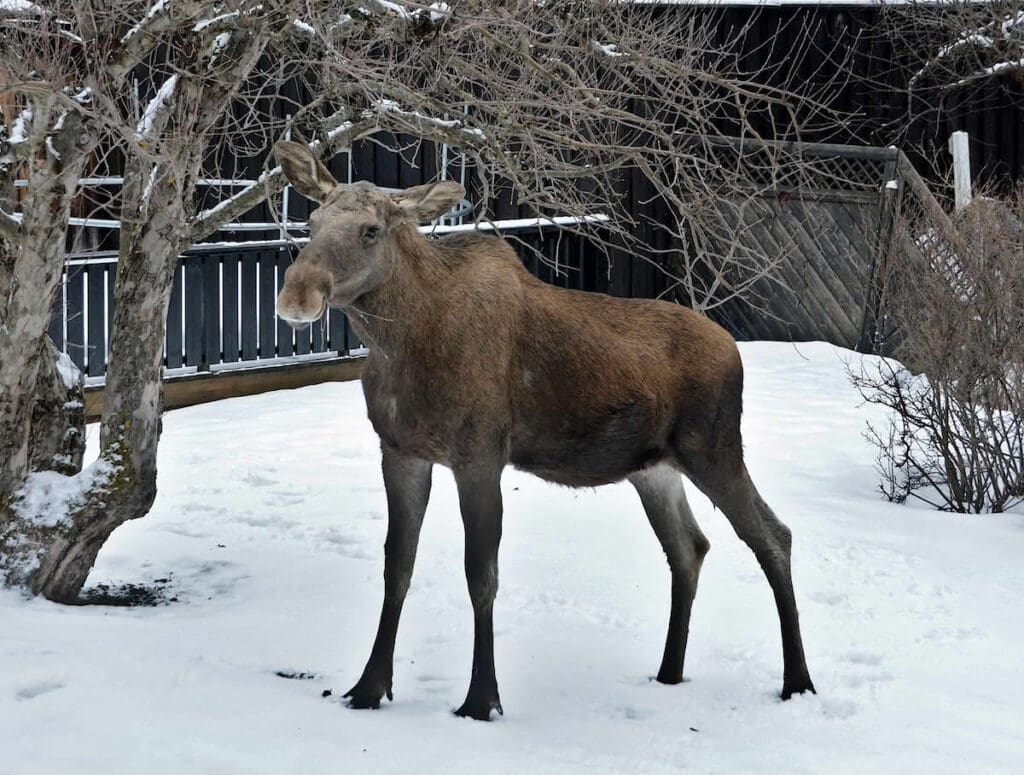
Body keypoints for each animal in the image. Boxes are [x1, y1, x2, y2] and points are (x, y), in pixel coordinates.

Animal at [272, 141, 815, 721]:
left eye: (371, 230)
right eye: (309, 222)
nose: (297, 296)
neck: (403, 345)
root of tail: (735, 350)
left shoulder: (480, 453)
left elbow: (481, 575)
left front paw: (481, 699)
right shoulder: (400, 450)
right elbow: (397, 566)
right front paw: (369, 687)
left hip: (714, 448)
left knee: (774, 536)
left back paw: (798, 681)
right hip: (654, 468)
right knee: (690, 546)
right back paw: (670, 672)